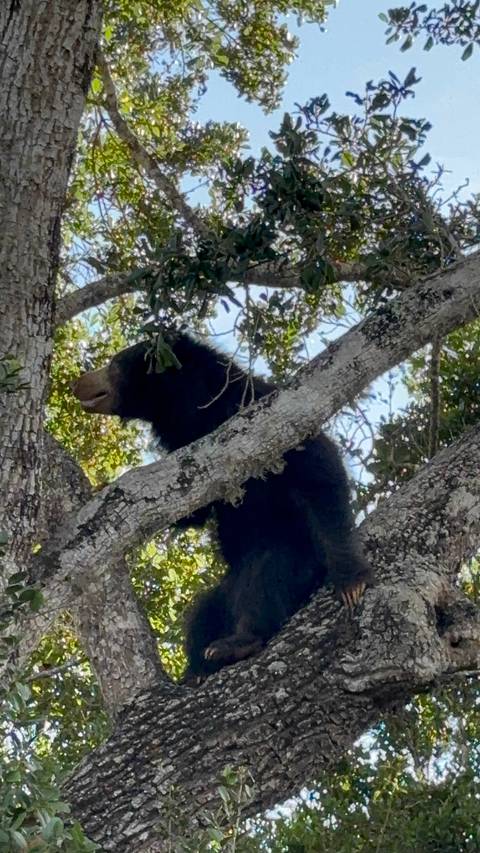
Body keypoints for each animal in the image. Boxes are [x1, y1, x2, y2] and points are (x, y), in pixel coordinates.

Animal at [72, 331, 371, 679]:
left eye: (114, 363)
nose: (78, 383)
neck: (196, 413)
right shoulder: (191, 453)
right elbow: (193, 510)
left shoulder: (262, 420)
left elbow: (319, 467)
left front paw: (351, 582)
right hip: (224, 589)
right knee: (203, 612)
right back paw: (197, 668)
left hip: (296, 559)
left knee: (265, 574)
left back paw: (236, 643)